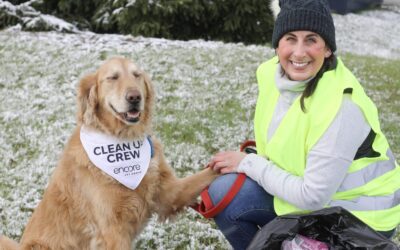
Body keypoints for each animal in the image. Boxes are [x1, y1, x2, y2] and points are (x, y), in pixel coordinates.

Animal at [0, 56, 219, 250]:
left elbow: (206, 174)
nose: (134, 97)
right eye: (112, 78)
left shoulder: (169, 195)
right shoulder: (112, 229)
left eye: (137, 75)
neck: (123, 138)